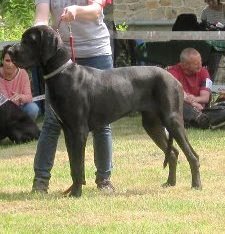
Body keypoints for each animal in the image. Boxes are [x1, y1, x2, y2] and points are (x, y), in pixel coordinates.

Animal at [8, 25, 202, 197]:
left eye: (29, 40)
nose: (9, 51)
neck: (63, 74)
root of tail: (173, 78)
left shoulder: (79, 131)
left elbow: (78, 166)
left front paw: (76, 193)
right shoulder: (68, 131)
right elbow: (73, 166)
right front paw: (72, 191)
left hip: (172, 120)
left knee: (193, 156)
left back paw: (196, 185)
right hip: (152, 124)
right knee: (174, 153)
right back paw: (170, 183)